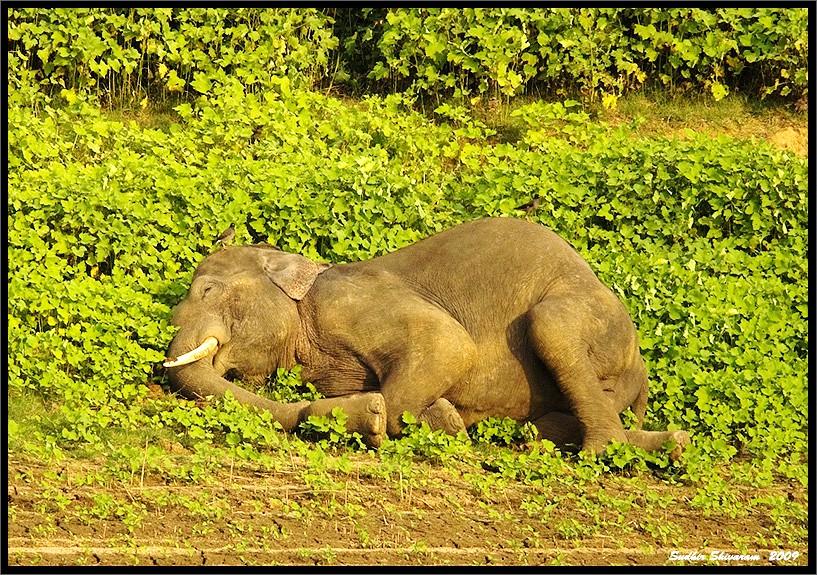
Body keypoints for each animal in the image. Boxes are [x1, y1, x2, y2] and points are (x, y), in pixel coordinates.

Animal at [166, 218, 688, 456]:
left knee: (553, 328)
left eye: (208, 290)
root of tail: (642, 368)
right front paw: (445, 417)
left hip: (587, 323)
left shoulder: (348, 302)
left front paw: (404, 418)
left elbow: (448, 344)